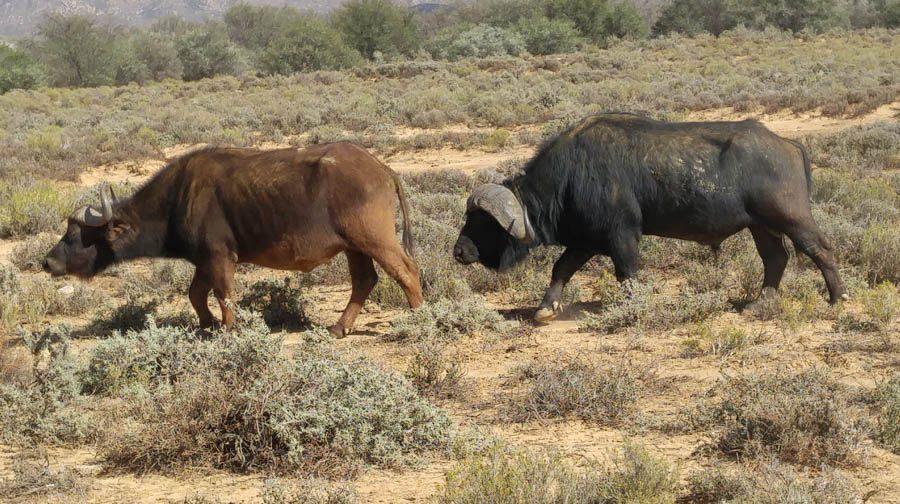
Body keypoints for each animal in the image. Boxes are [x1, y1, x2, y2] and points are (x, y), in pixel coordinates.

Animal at [41, 142, 422, 334]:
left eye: (74, 234)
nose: (47, 261)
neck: (178, 198)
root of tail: (382, 169)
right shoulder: (204, 260)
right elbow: (196, 294)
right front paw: (207, 324)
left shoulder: (220, 257)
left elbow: (224, 296)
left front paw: (227, 329)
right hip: (354, 247)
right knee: (365, 280)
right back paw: (339, 328)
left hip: (374, 238)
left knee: (406, 271)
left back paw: (420, 318)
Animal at [454, 112, 848, 320]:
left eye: (483, 223)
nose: (458, 251)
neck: (571, 175)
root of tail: (787, 143)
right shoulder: (587, 241)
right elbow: (561, 269)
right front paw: (546, 308)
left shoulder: (622, 236)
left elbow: (627, 274)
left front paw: (632, 307)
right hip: (761, 226)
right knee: (775, 258)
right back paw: (759, 302)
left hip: (790, 217)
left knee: (821, 249)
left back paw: (838, 298)